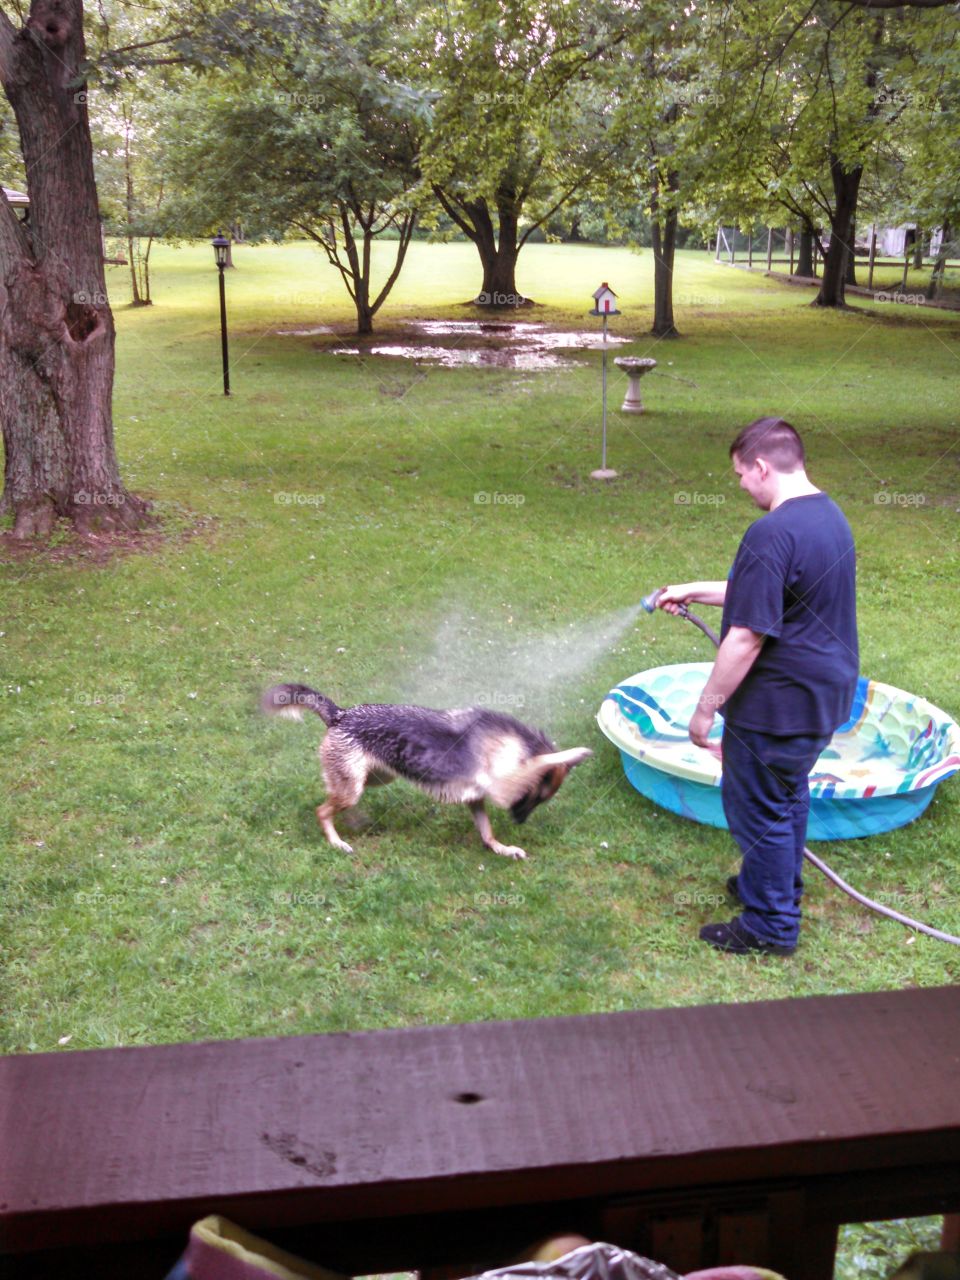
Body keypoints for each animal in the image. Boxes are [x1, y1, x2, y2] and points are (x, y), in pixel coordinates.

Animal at [263, 680, 593, 860]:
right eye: (535, 797)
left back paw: (352, 821)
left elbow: (487, 833)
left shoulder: (478, 798)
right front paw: (577, 751)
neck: (518, 743)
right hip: (354, 786)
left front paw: (502, 848)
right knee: (322, 811)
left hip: (374, 778)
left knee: (332, 801)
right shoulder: (502, 788)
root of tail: (340, 714)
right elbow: (544, 760)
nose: (519, 821)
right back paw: (336, 842)